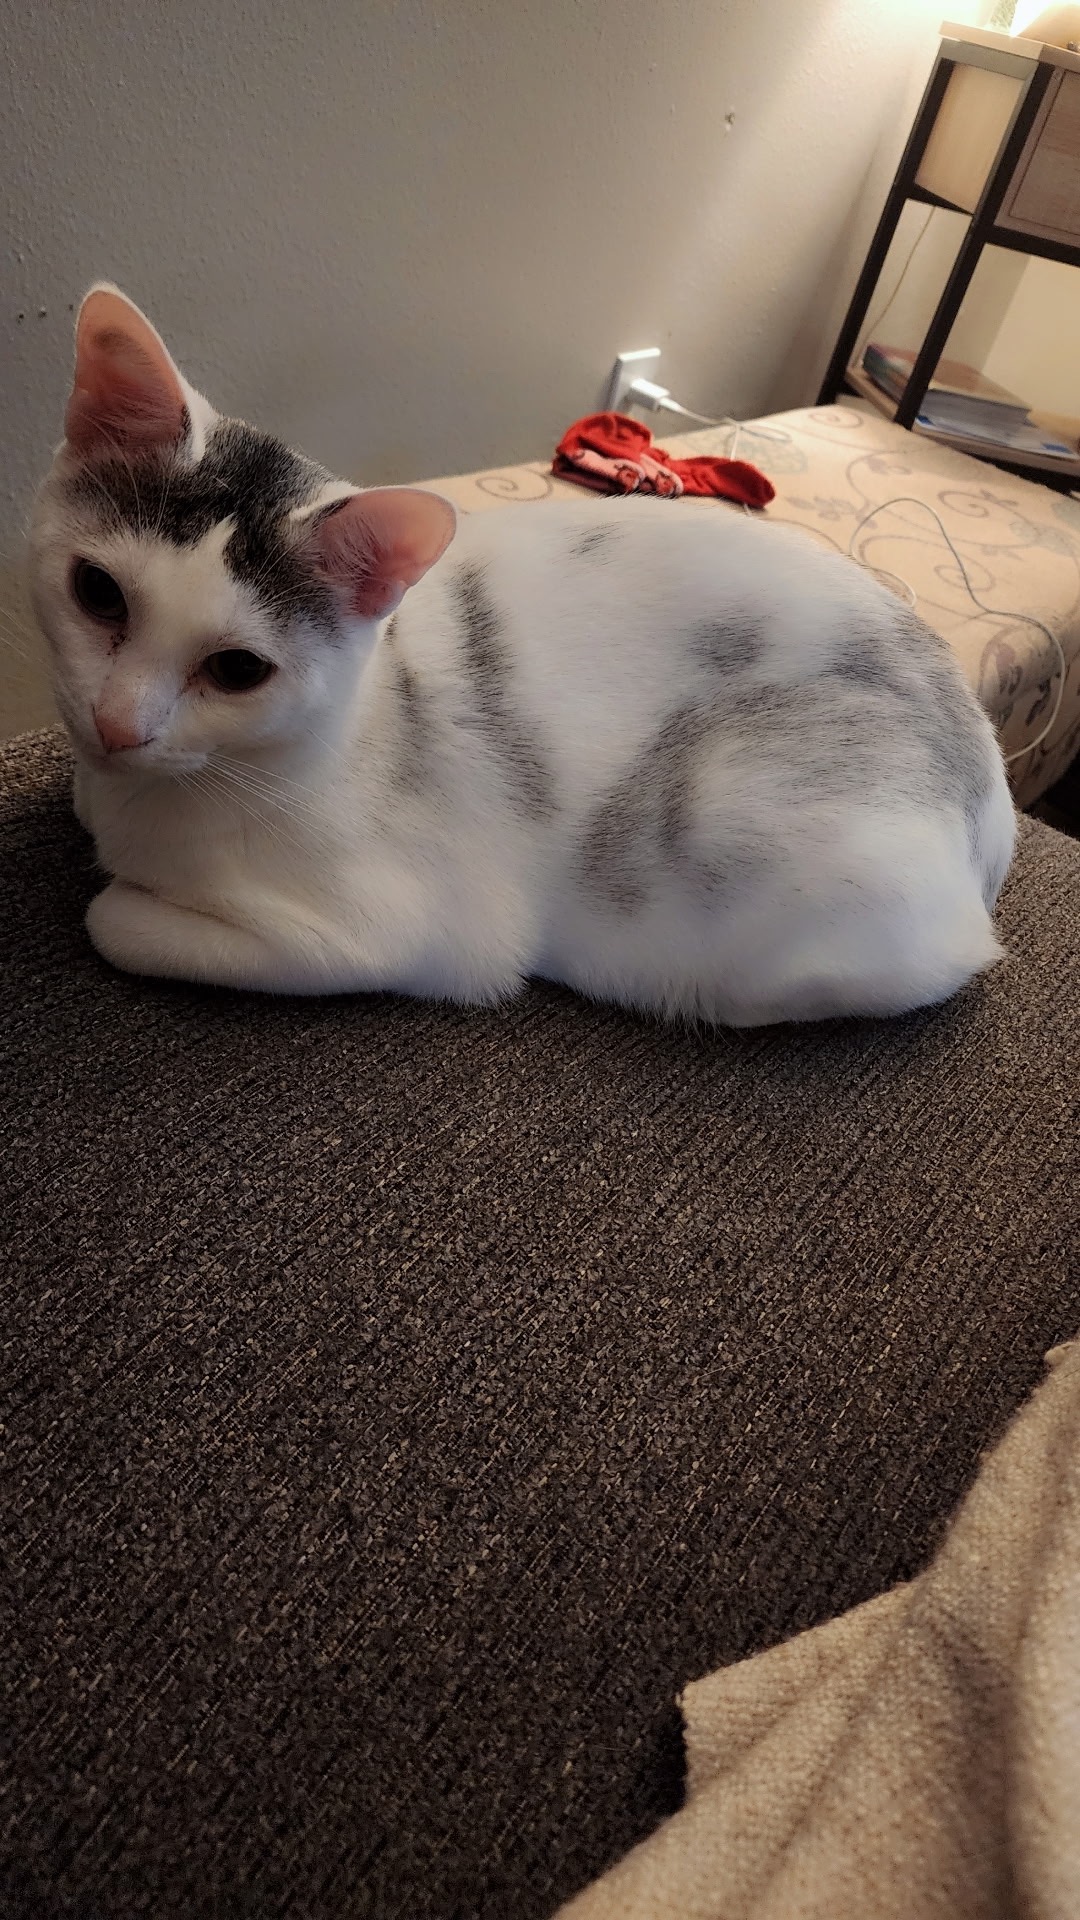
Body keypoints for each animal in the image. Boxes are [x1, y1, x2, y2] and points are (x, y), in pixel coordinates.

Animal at [29, 285, 1015, 1026]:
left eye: (237, 670)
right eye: (99, 594)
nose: (117, 725)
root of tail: (989, 789)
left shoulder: (384, 934)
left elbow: (110, 917)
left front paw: (116, 885)